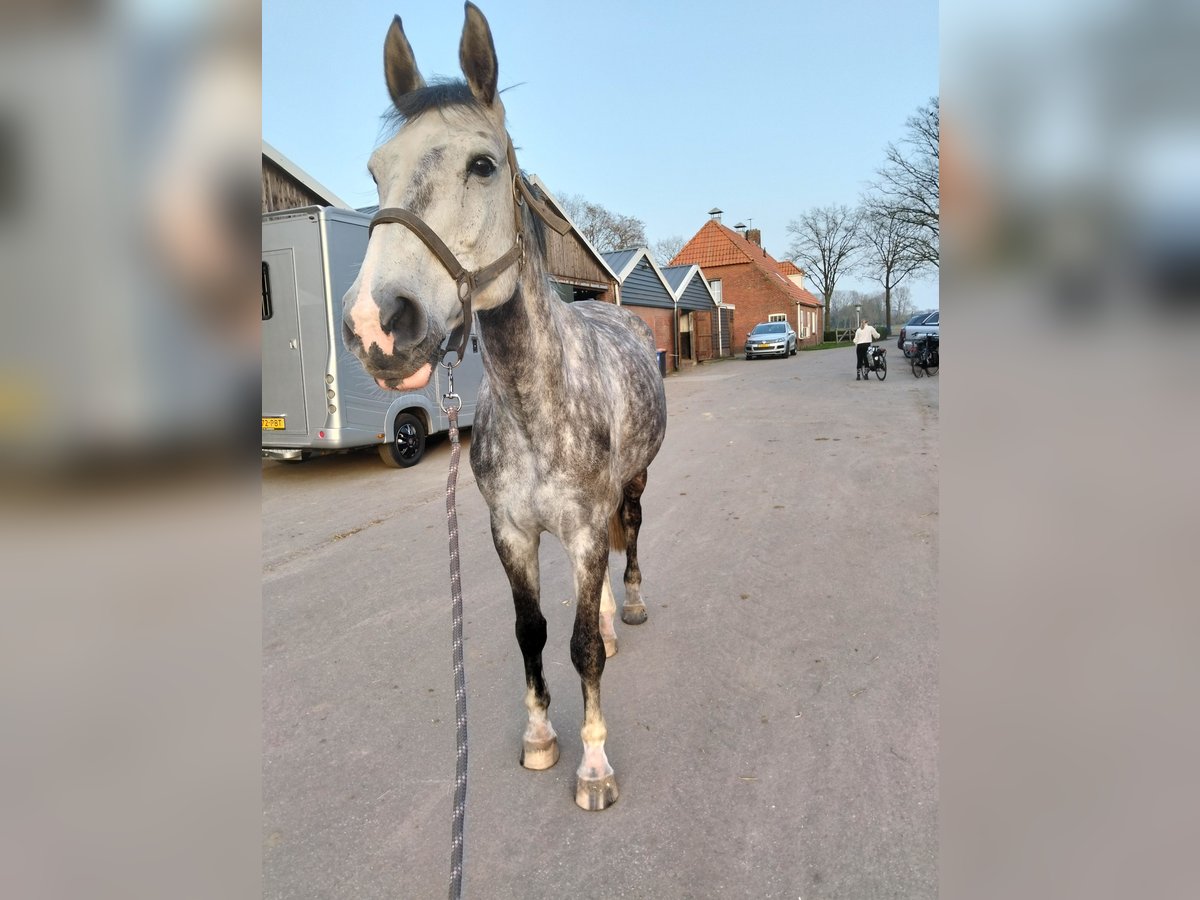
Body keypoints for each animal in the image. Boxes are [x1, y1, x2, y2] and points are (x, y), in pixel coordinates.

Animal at [341, 3, 667, 811]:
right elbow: (535, 633)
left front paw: (594, 766)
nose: (374, 324)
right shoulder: (511, 533)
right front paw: (541, 737)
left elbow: (577, 646)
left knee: (630, 544)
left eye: (482, 165)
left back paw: (630, 609)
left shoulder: (581, 530)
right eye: (376, 170)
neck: (537, 404)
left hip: (634, 485)